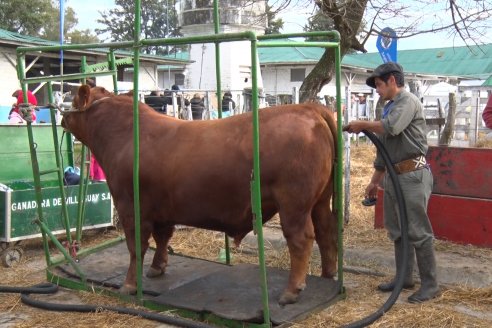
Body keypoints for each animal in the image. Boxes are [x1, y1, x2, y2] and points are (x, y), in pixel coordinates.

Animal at [61, 85, 338, 304]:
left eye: (72, 100)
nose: (62, 116)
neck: (125, 134)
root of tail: (309, 109)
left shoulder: (129, 205)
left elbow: (136, 247)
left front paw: (129, 285)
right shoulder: (162, 208)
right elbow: (163, 238)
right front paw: (157, 268)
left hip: (294, 203)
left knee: (301, 239)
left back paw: (291, 291)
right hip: (321, 200)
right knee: (325, 232)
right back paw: (327, 276)